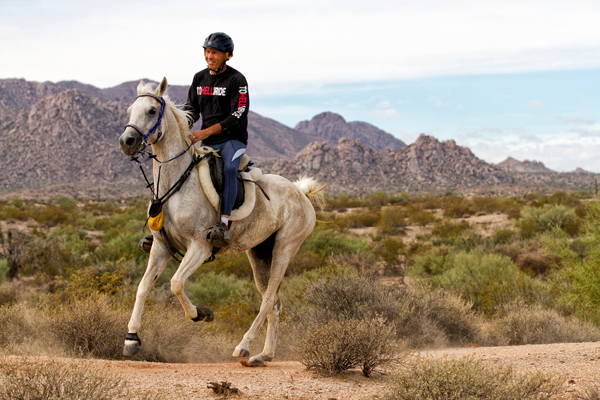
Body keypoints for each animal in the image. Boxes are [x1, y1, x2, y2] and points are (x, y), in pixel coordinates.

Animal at [118, 77, 324, 366]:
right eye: (129, 111)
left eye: (151, 111)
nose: (127, 141)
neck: (175, 183)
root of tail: (301, 192)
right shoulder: (160, 247)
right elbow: (143, 287)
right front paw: (132, 338)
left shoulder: (199, 247)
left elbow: (176, 284)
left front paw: (201, 313)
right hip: (260, 252)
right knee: (274, 303)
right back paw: (263, 354)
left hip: (285, 247)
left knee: (268, 298)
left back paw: (243, 346)